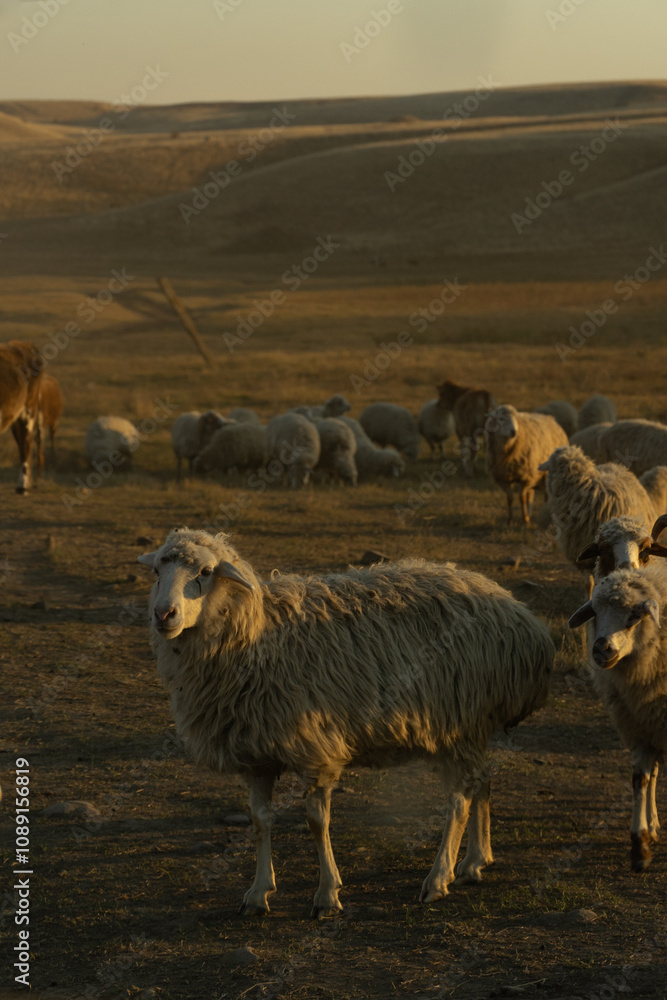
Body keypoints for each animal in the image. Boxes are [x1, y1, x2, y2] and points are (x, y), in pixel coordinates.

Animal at [138, 527, 554, 915]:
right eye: (157, 570)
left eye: (206, 572)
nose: (163, 615)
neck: (260, 638)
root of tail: (519, 614)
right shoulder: (255, 755)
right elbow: (259, 822)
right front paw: (257, 893)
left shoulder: (315, 750)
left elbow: (316, 822)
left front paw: (326, 895)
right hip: (471, 726)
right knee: (482, 782)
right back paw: (474, 862)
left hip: (458, 722)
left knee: (457, 802)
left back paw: (438, 879)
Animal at [569, 562, 667, 871]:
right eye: (595, 612)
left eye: (636, 614)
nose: (601, 648)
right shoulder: (639, 726)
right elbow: (640, 780)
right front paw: (640, 845)